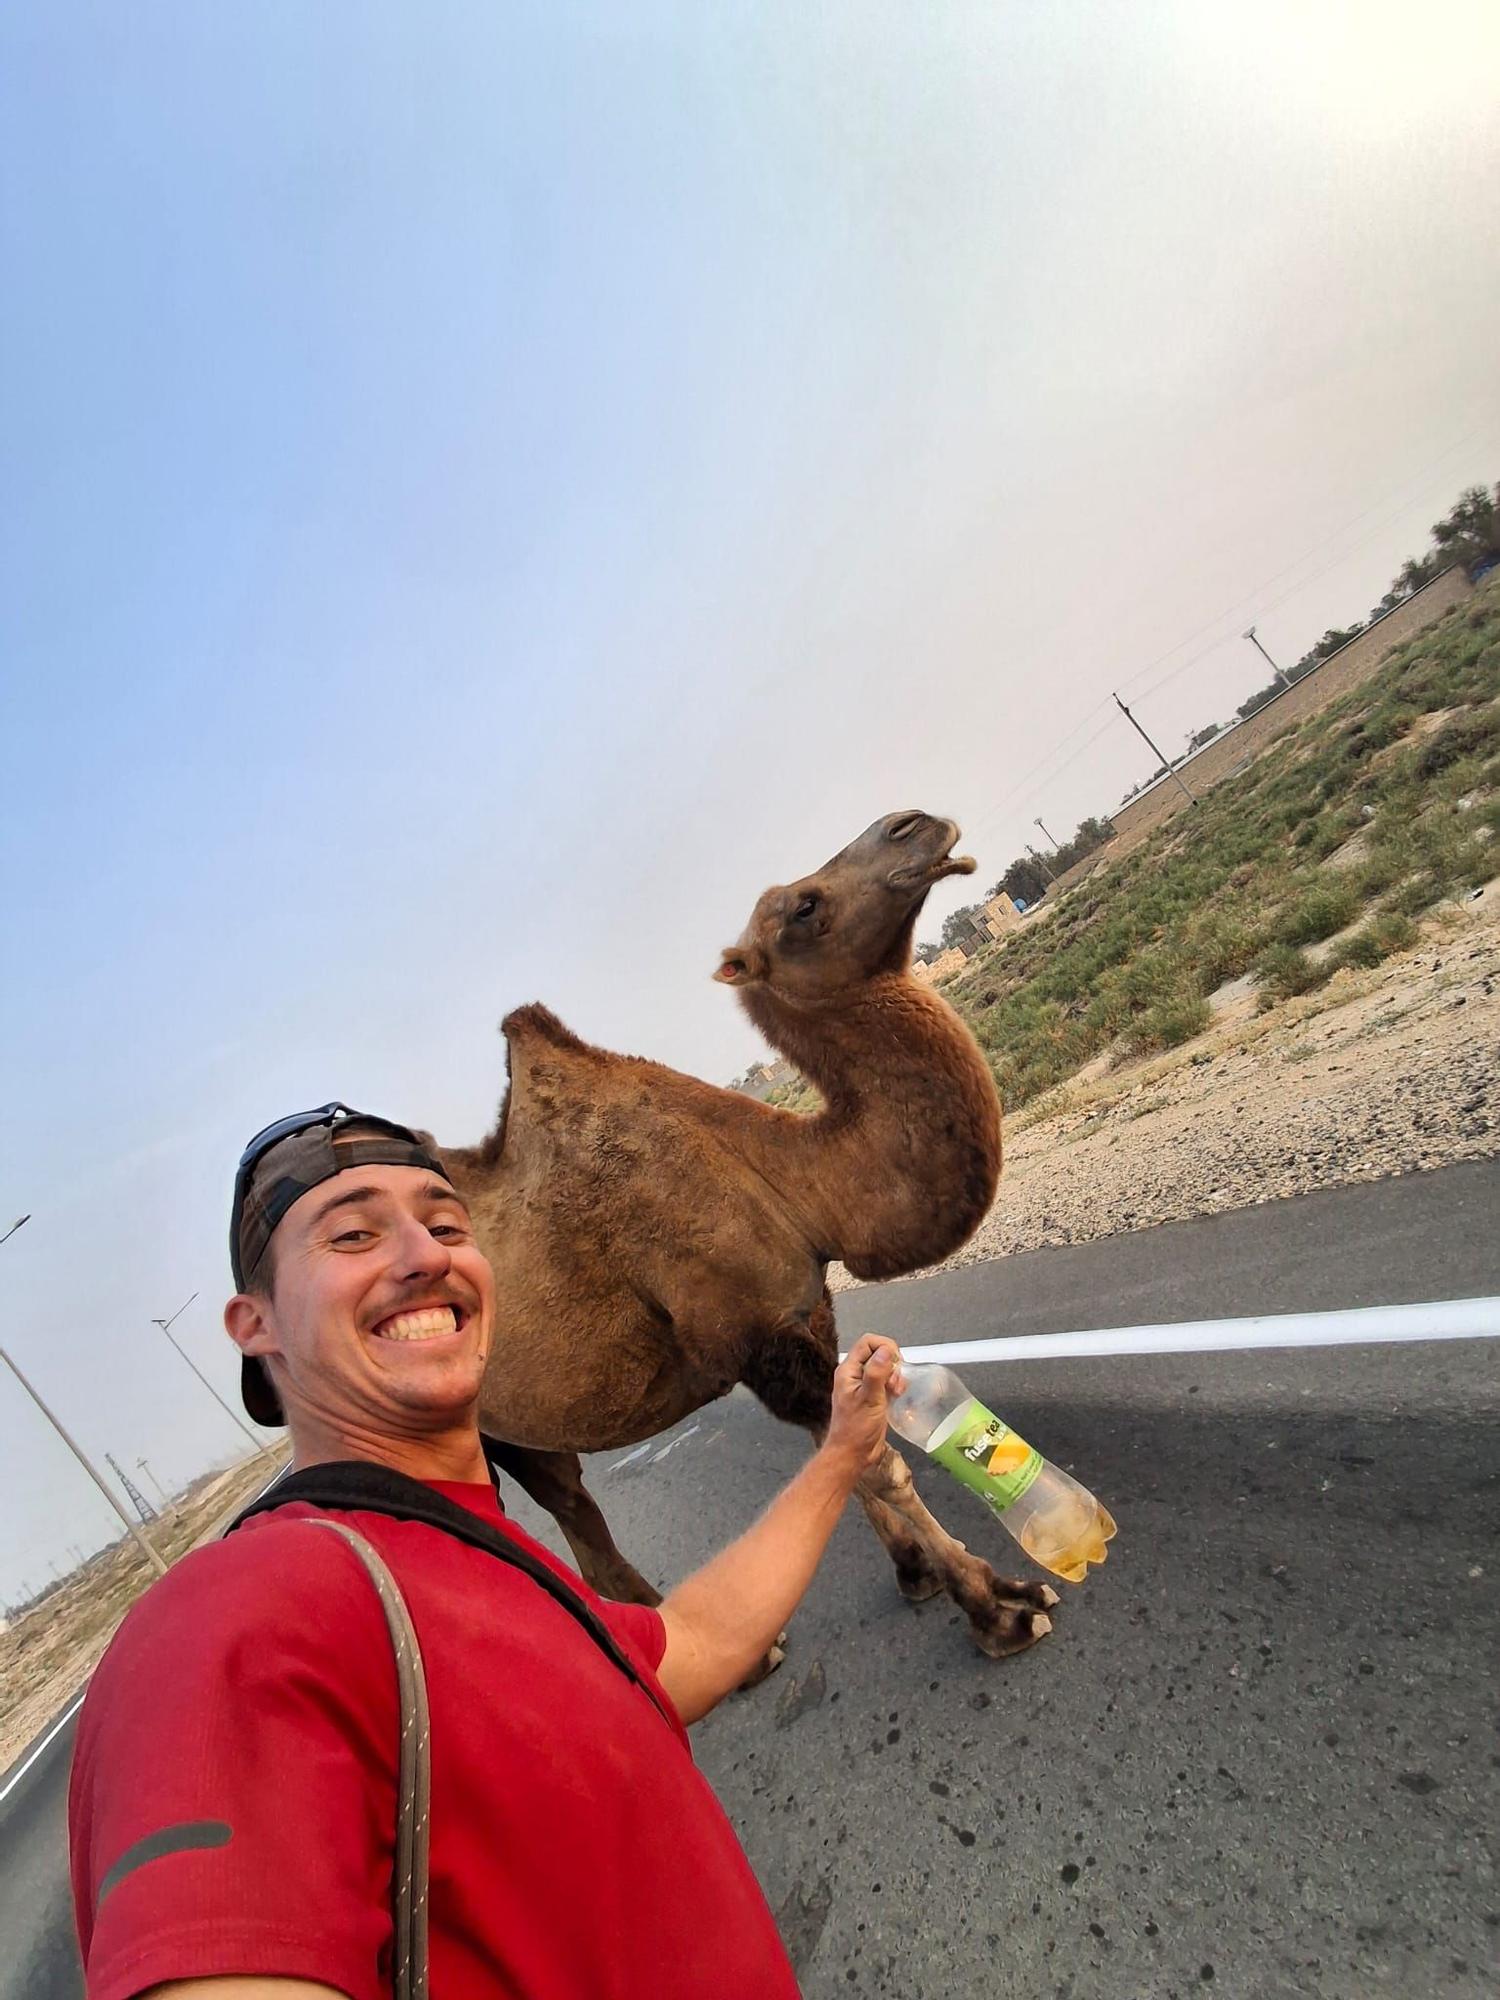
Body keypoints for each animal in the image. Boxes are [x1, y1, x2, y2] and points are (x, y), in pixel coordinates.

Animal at [436, 810, 1058, 1669]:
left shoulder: (800, 1310)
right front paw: (999, 1607)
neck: (788, 1180)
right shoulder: (749, 1336)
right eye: (803, 909)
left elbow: (838, 1452)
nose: (914, 825)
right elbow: (883, 1468)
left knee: (576, 1514)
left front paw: (922, 1573)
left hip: (508, 1425)